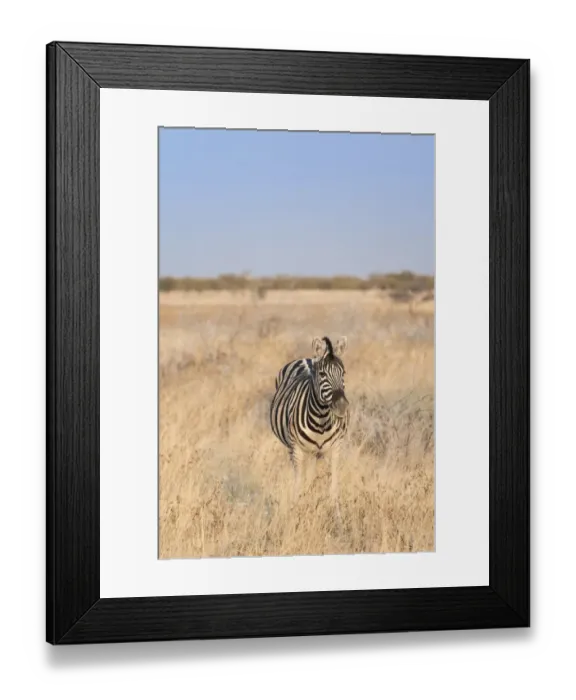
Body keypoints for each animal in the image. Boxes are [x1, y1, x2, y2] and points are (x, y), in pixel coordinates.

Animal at [269, 336, 350, 507]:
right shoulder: (297, 449)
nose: (341, 406)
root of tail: (308, 359)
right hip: (295, 449)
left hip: (315, 453)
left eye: (343, 372)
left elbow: (333, 488)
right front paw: (297, 509)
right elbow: (298, 484)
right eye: (322, 374)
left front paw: (335, 512)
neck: (321, 419)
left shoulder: (336, 448)